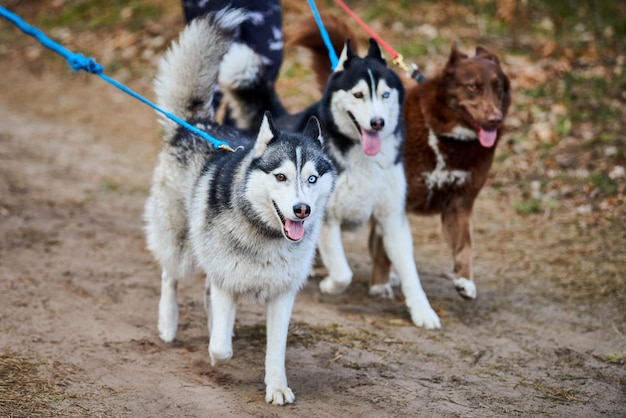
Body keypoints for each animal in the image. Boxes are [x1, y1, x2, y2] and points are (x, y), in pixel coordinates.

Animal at [144, 11, 336, 406]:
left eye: (312, 178)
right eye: (280, 176)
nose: (302, 210)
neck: (267, 235)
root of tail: (197, 124)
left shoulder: (282, 296)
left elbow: (275, 350)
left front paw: (277, 387)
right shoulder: (226, 283)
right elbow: (222, 347)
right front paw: (217, 353)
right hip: (180, 243)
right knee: (170, 275)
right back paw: (168, 322)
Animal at [219, 30, 438, 330]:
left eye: (385, 94)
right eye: (358, 94)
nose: (378, 122)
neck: (362, 156)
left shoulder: (392, 216)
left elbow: (410, 270)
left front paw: (422, 311)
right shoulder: (327, 218)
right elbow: (343, 272)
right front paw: (330, 286)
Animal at [290, 13, 510, 300]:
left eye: (499, 88)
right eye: (472, 87)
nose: (495, 119)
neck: (443, 138)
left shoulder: (459, 202)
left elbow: (465, 245)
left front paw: (464, 280)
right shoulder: (397, 203)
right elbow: (381, 250)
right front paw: (379, 283)